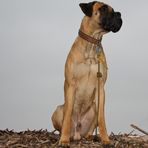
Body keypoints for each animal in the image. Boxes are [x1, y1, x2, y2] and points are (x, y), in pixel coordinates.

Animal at [51, 0, 122, 147]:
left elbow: (102, 118)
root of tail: (78, 134)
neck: (92, 42)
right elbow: (67, 116)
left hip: (94, 107)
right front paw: (64, 140)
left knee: (91, 127)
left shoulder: (101, 87)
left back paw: (91, 136)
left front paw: (106, 139)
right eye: (103, 9)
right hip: (57, 110)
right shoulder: (71, 85)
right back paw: (65, 136)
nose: (119, 14)